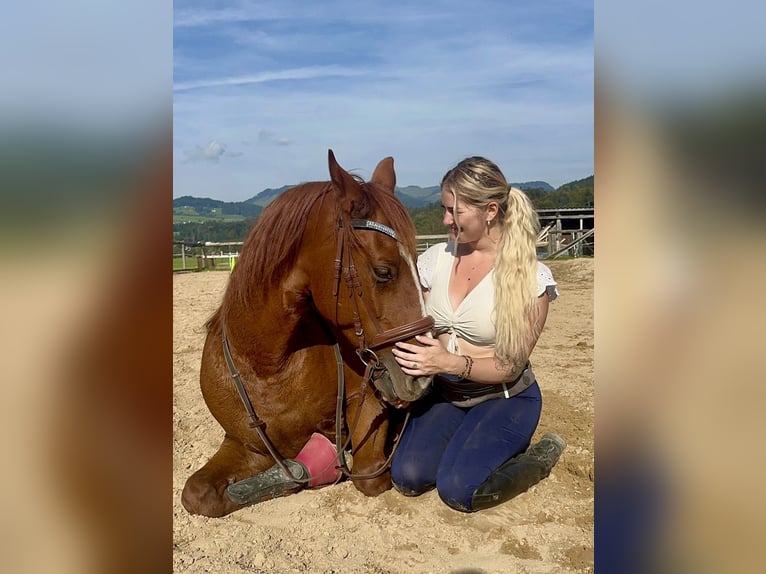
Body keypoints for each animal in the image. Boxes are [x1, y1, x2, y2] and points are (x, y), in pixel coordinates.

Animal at [180, 151, 432, 520]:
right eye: (383, 271)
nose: (420, 378)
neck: (267, 363)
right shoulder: (243, 444)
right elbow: (197, 494)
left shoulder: (369, 411)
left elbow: (369, 476)